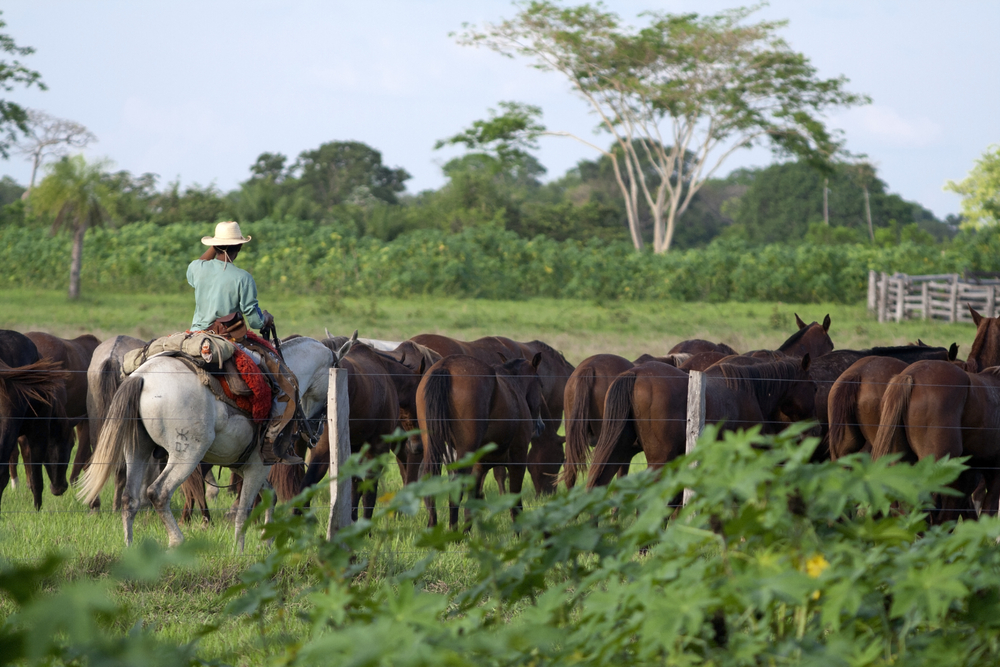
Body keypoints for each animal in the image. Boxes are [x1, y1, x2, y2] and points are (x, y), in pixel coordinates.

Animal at [78, 336, 334, 552]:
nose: (317, 432)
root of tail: (141, 377)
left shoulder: (247, 466)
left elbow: (269, 497)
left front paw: (267, 542)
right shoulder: (259, 465)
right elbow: (244, 510)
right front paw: (238, 552)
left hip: (137, 451)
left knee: (129, 499)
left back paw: (130, 548)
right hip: (187, 455)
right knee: (158, 492)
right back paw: (176, 541)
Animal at [422, 352, 548, 528]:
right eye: (540, 385)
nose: (540, 426)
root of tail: (446, 365)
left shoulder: (479, 467)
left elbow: (472, 507)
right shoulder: (518, 461)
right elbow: (516, 505)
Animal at [584, 358, 812, 488]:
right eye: (814, 387)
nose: (813, 428)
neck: (752, 392)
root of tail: (636, 373)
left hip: (618, 450)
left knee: (596, 485)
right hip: (659, 462)